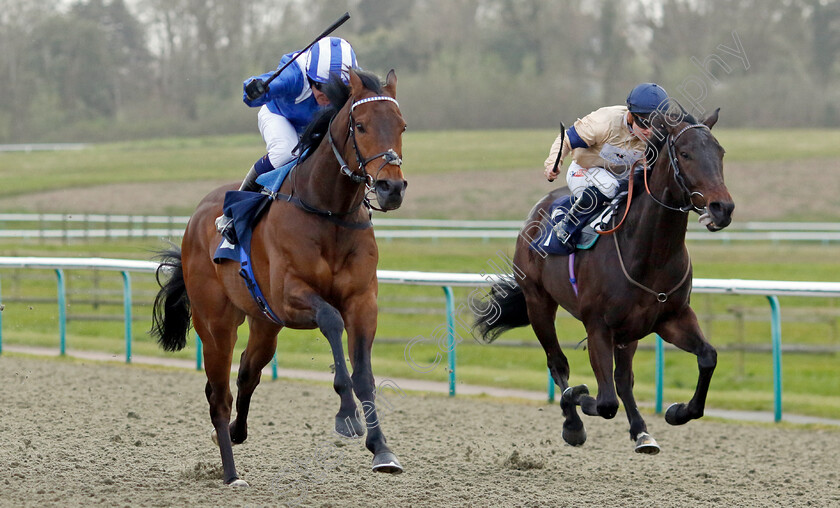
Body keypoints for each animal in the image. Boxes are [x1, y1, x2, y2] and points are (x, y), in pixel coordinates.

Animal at [154, 69, 410, 486]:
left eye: (402, 125)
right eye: (360, 125)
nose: (392, 188)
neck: (328, 212)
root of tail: (194, 221)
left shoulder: (362, 301)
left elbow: (364, 373)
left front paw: (382, 450)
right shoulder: (290, 297)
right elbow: (331, 321)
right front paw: (346, 416)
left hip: (264, 325)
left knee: (246, 373)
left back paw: (237, 433)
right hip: (215, 324)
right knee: (219, 396)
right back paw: (231, 473)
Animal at [476, 107, 732, 452]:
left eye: (720, 153)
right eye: (685, 153)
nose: (722, 208)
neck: (650, 254)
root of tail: (537, 212)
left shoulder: (671, 318)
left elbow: (707, 357)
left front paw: (678, 411)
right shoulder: (597, 326)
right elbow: (605, 400)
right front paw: (579, 397)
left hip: (629, 331)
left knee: (623, 379)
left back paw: (641, 431)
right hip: (538, 302)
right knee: (558, 363)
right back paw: (572, 422)